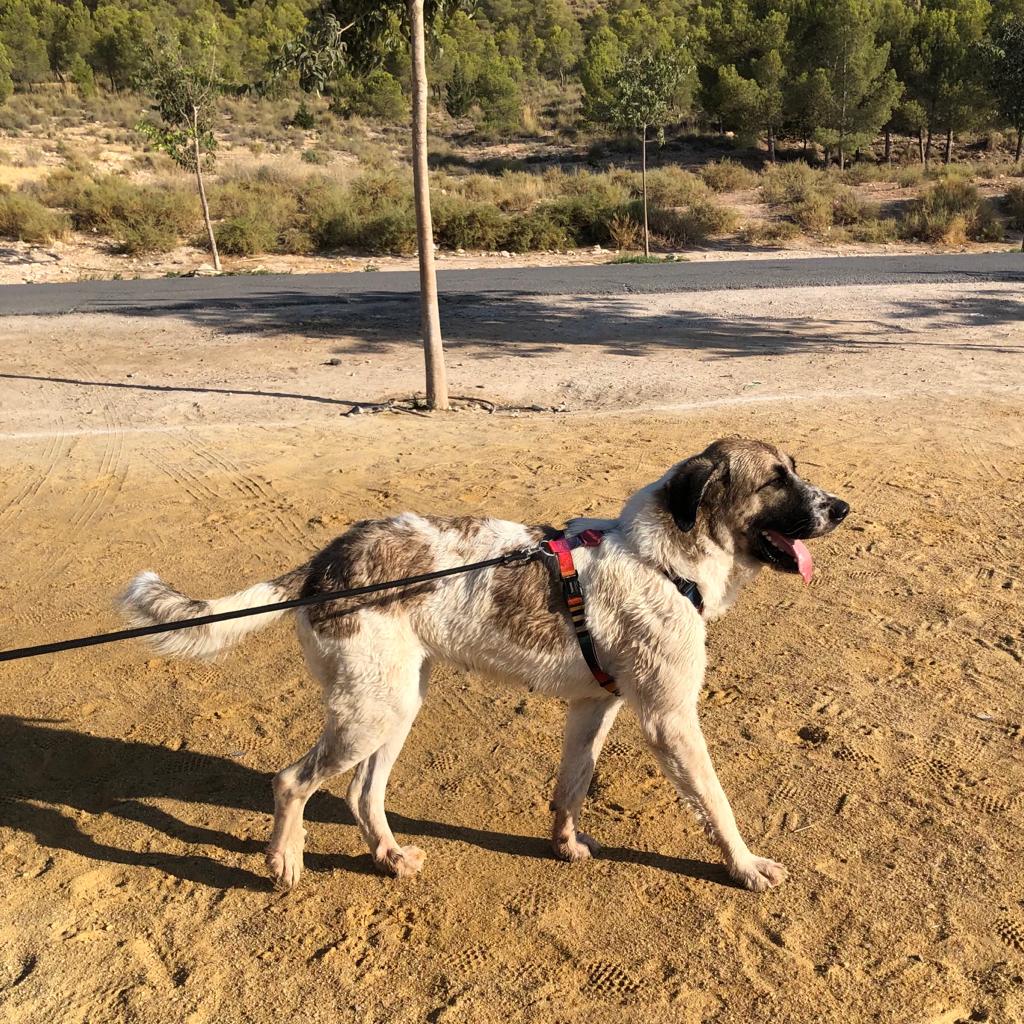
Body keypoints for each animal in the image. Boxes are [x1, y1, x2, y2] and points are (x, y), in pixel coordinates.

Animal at [120, 437, 848, 893]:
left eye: (795, 469)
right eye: (775, 479)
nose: (842, 507)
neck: (664, 561)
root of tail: (325, 562)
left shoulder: (594, 706)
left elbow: (571, 786)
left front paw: (564, 845)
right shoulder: (669, 720)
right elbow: (717, 804)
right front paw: (746, 867)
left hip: (396, 702)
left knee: (360, 793)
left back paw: (388, 857)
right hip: (369, 711)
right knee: (291, 781)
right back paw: (285, 861)